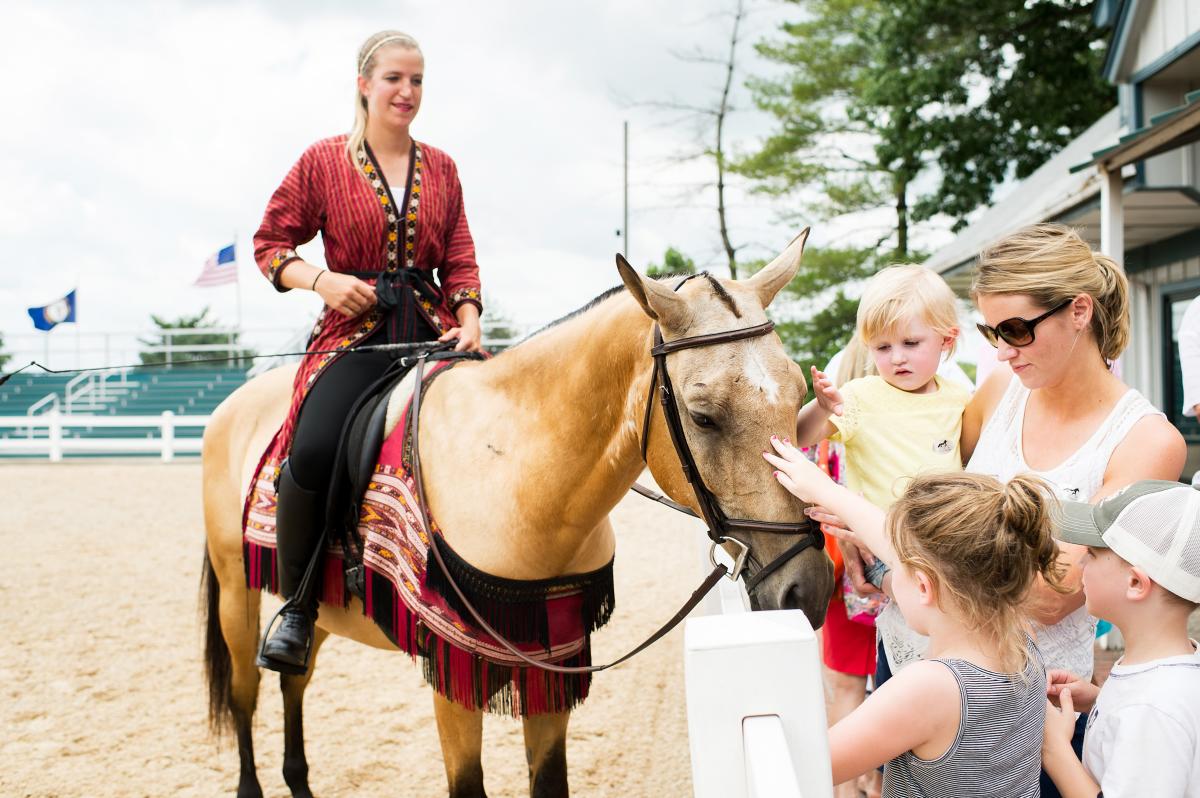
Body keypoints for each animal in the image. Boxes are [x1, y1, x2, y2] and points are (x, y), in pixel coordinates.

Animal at [199, 226, 835, 792]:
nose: (807, 588)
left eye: (798, 393)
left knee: (295, 683)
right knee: (247, 695)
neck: (511, 468)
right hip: (237, 592)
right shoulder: (453, 673)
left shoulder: (548, 668)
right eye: (703, 416)